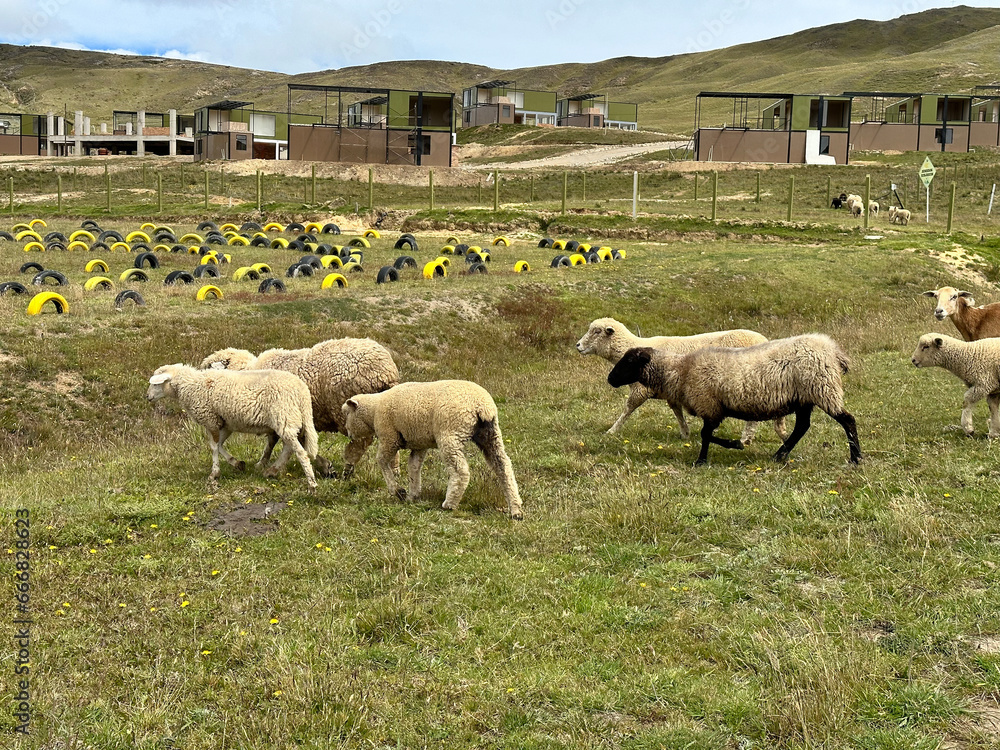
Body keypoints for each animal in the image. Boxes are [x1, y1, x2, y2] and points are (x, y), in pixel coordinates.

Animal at [146, 363, 319, 490]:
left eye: (155, 384)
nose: (147, 397)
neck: (191, 385)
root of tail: (302, 392)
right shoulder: (226, 423)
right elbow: (219, 445)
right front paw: (237, 463)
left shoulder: (210, 419)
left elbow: (213, 447)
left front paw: (214, 474)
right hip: (289, 419)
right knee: (289, 448)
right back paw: (272, 471)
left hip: (284, 417)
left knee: (300, 452)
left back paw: (311, 483)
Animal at [200, 338, 399, 478]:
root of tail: (386, 371)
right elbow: (275, 442)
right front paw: (262, 463)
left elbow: (290, 443)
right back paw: (394, 469)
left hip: (348, 412)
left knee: (360, 442)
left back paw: (348, 468)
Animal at [341, 380, 523, 520]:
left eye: (347, 414)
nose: (348, 433)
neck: (374, 410)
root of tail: (482, 406)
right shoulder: (419, 444)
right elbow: (414, 467)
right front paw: (413, 495)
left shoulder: (389, 437)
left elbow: (382, 461)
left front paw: (397, 491)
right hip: (490, 434)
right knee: (503, 466)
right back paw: (516, 509)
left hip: (450, 433)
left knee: (461, 471)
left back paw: (449, 503)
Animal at [576, 317, 786, 443]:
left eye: (596, 331)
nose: (577, 345)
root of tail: (765, 340)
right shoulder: (671, 390)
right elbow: (676, 410)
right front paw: (685, 433)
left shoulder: (640, 390)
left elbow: (628, 409)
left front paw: (612, 430)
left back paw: (749, 438)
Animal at [606, 334, 862, 466]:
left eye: (629, 361)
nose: (609, 379)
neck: (680, 370)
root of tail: (832, 349)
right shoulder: (712, 409)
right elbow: (707, 435)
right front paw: (729, 447)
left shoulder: (709, 406)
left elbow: (706, 435)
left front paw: (705, 459)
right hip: (805, 397)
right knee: (802, 426)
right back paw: (780, 455)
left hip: (822, 388)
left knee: (847, 420)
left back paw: (856, 458)